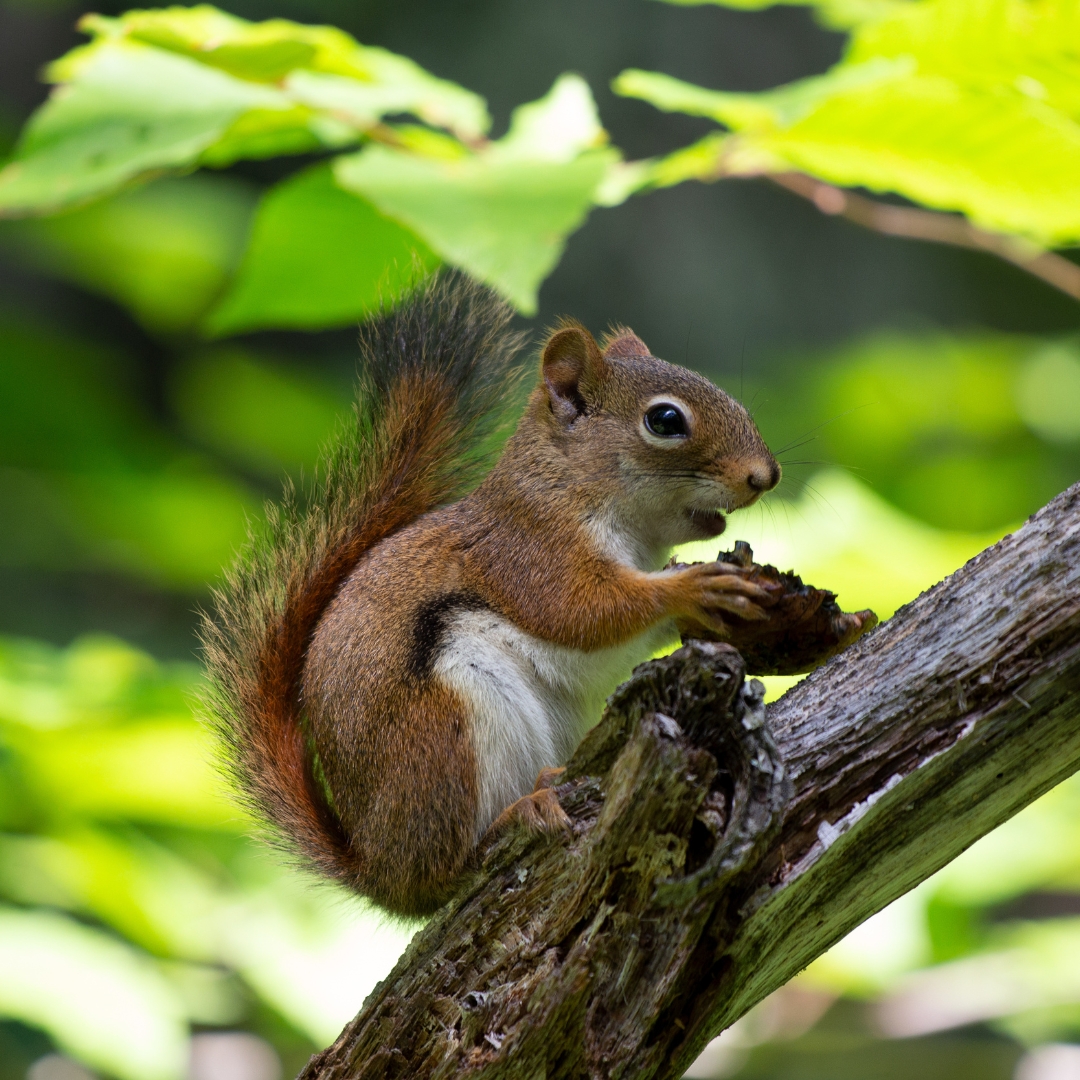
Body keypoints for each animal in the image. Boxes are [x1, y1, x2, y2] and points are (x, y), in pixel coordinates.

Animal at [201, 272, 780, 917]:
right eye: (665, 421)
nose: (765, 476)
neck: (568, 487)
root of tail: (381, 872)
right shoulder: (527, 553)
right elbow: (583, 612)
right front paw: (692, 585)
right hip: (445, 730)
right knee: (450, 866)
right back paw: (517, 814)